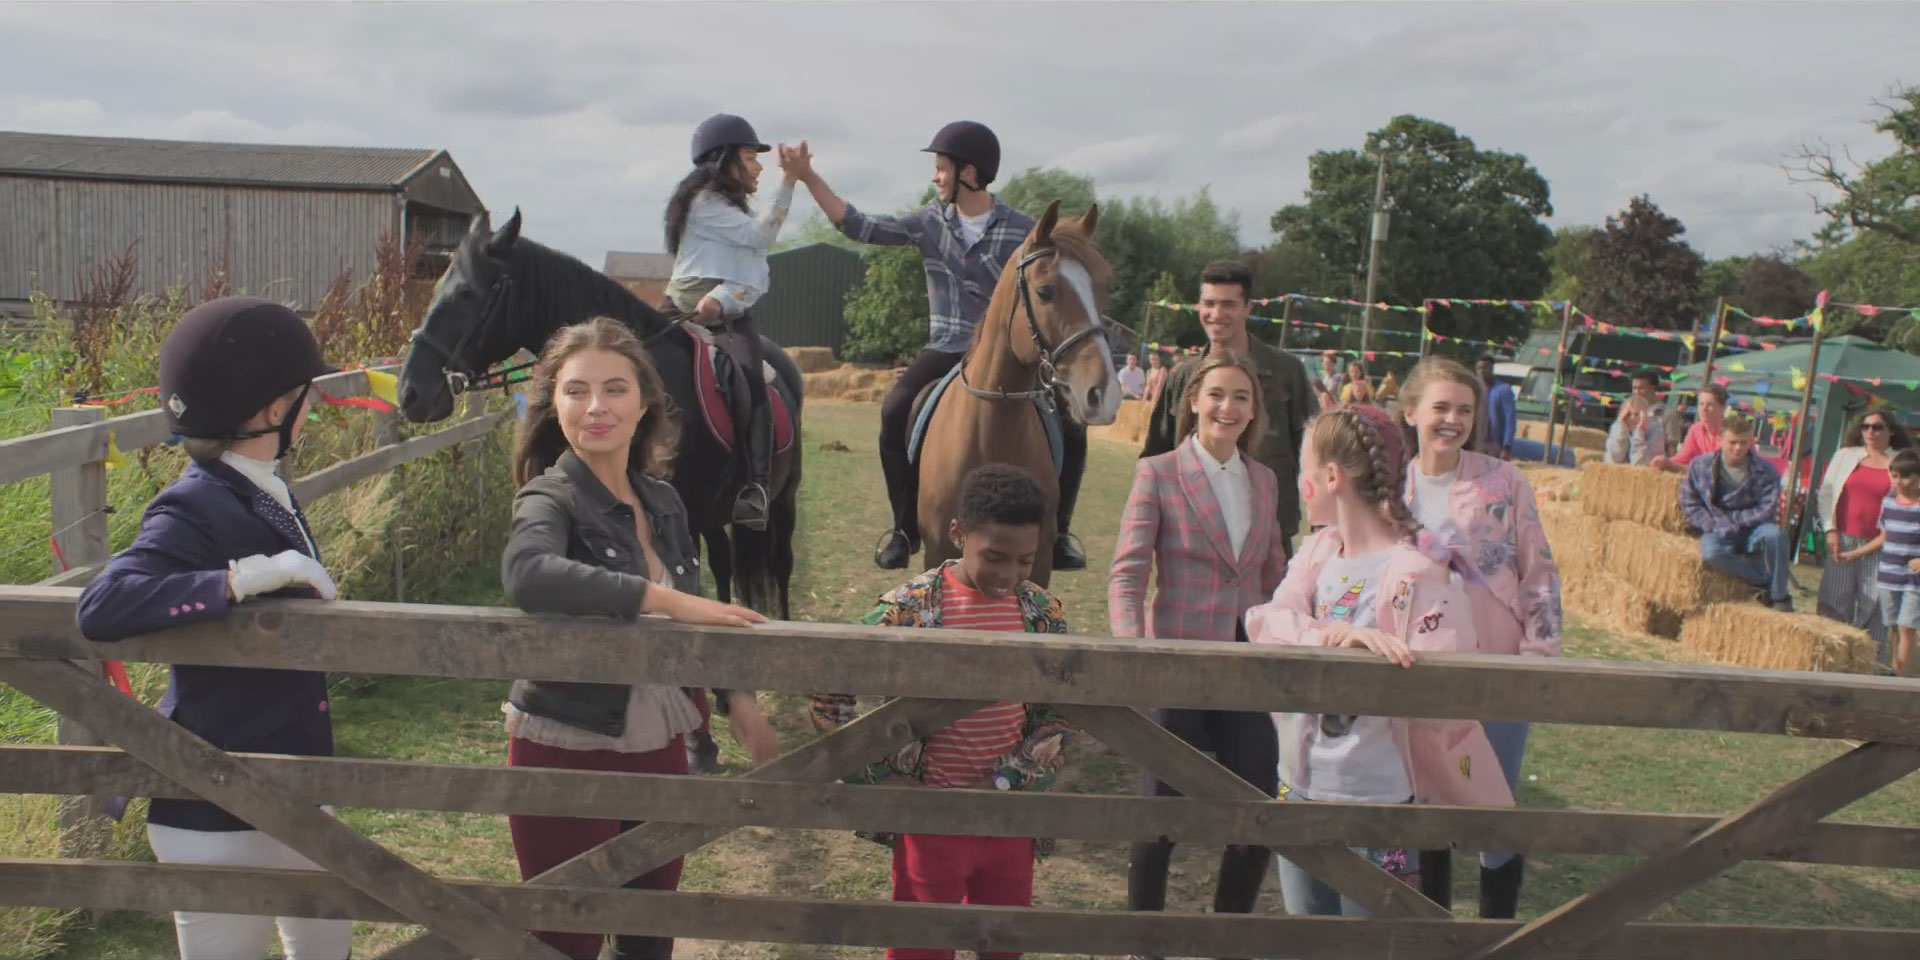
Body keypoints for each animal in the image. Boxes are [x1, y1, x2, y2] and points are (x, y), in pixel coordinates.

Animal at [399, 209, 802, 622]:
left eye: (467, 293)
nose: (410, 393)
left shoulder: (681, 514)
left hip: (782, 502)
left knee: (780, 566)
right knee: (724, 564)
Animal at [917, 204, 1121, 583]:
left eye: (1103, 288)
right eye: (1045, 292)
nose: (1105, 395)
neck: (990, 433)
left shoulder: (1036, 561)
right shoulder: (938, 551)